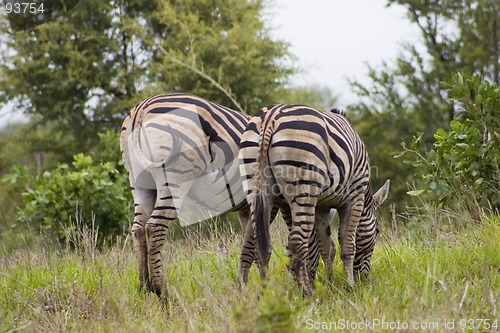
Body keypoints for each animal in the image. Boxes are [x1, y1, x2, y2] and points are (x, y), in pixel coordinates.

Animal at [238, 104, 390, 296]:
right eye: (377, 231)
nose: (365, 280)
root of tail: (270, 118)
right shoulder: (355, 197)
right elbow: (347, 245)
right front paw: (349, 287)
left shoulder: (321, 207)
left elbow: (327, 247)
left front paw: (330, 285)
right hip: (304, 187)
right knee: (296, 245)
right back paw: (308, 294)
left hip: (257, 188)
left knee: (251, 243)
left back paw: (253, 294)